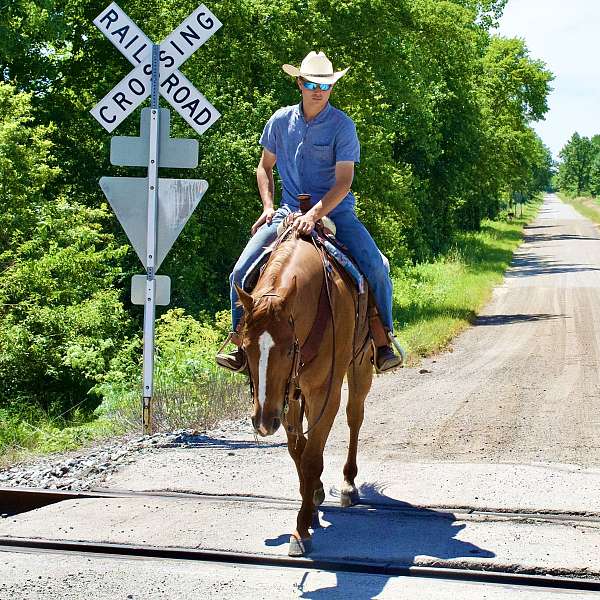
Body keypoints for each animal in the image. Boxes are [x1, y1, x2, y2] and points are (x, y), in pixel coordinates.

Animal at [236, 226, 372, 556]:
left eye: (288, 350)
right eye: (245, 348)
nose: (262, 423)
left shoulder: (325, 391)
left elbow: (311, 458)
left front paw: (301, 530)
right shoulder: (285, 396)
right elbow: (298, 451)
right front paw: (310, 505)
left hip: (360, 365)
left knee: (354, 417)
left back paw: (348, 485)